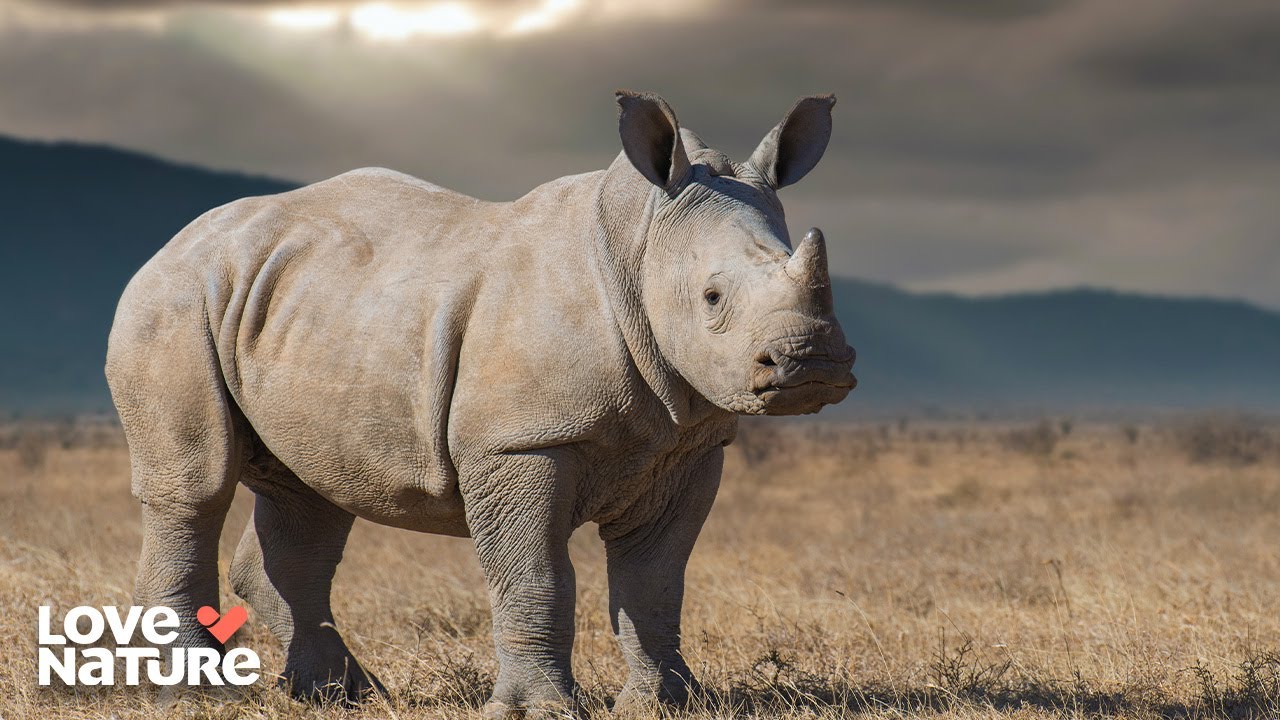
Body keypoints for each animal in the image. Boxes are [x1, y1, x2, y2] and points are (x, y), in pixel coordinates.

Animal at [105, 91, 855, 716]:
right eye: (712, 298)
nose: (812, 364)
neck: (640, 241)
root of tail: (172, 243)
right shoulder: (520, 440)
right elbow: (537, 578)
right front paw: (538, 711)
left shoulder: (687, 446)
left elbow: (656, 581)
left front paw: (668, 704)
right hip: (173, 303)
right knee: (196, 488)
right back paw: (194, 697)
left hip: (299, 307)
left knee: (312, 497)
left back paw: (344, 694)